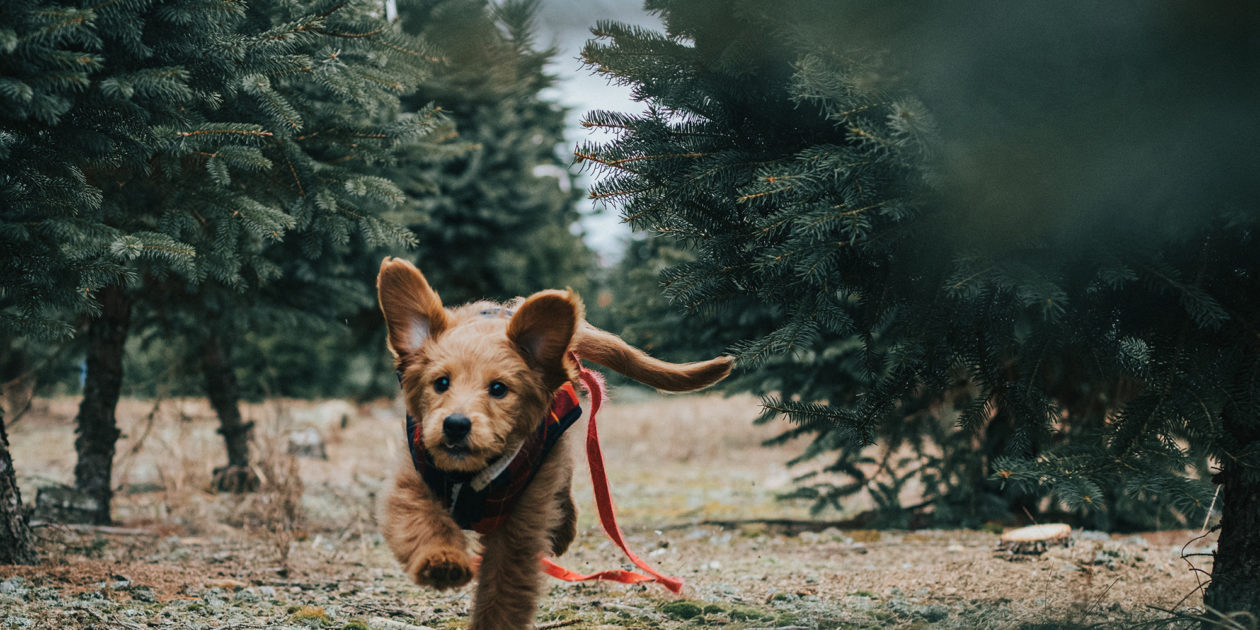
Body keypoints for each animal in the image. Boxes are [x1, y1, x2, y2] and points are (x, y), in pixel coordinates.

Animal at [372, 257, 730, 630]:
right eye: (441, 383)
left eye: (498, 389)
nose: (456, 425)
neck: (471, 475)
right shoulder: (411, 481)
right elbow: (422, 523)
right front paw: (441, 562)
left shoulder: (520, 525)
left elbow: (503, 592)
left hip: (554, 453)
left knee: (564, 483)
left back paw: (563, 529)